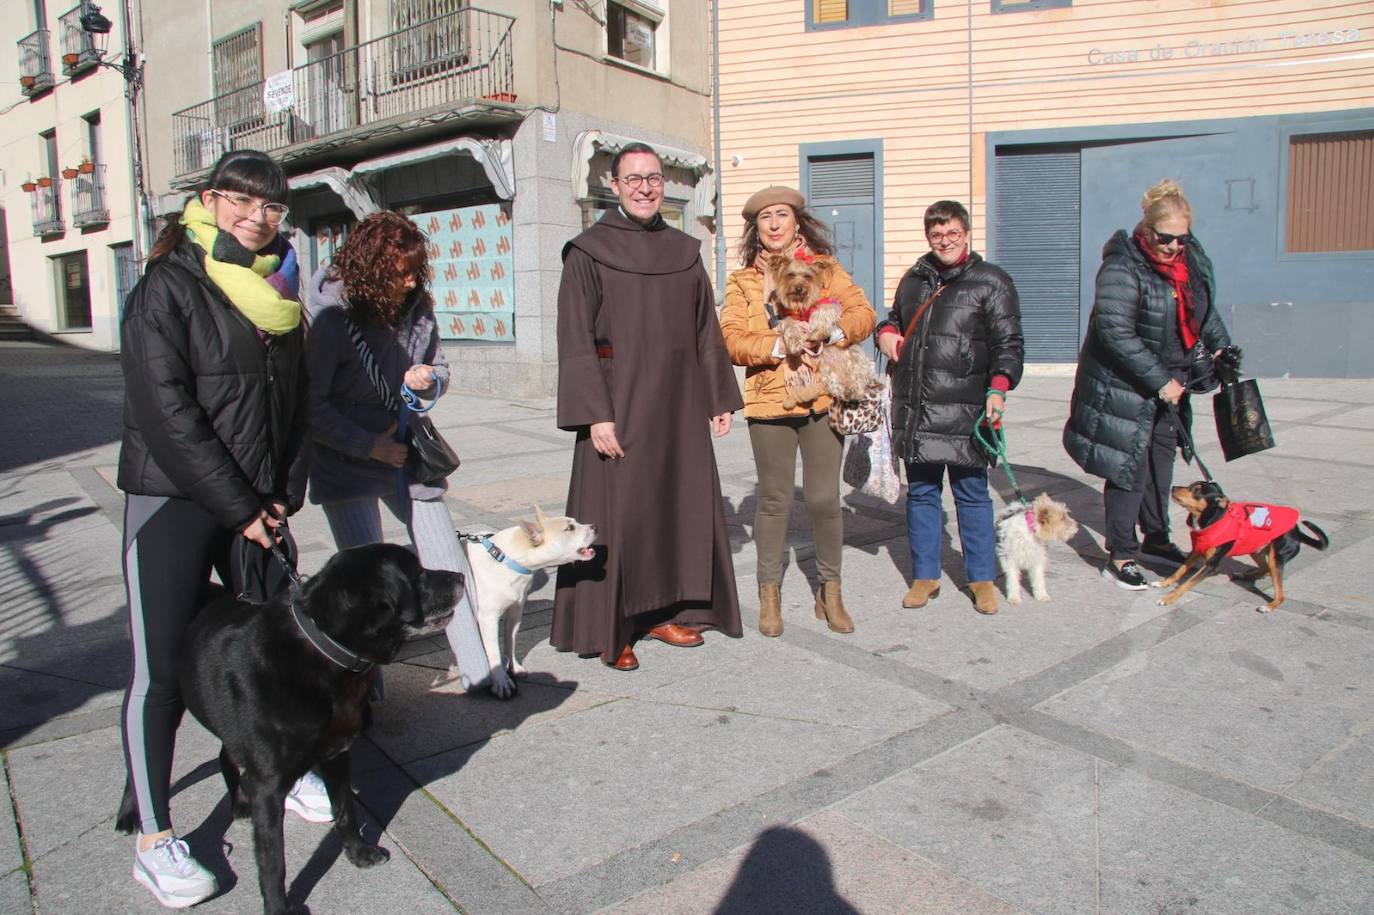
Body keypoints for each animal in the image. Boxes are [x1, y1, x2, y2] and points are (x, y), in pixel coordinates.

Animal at [118, 541, 461, 912]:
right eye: (418, 572)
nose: (459, 575)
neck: (326, 652)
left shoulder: (337, 755)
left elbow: (345, 811)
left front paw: (357, 853)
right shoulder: (268, 788)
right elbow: (273, 862)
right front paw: (278, 907)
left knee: (226, 753)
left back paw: (239, 801)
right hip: (160, 686)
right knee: (137, 748)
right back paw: (129, 815)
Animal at [461, 505, 596, 697]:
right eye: (570, 528)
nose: (595, 527)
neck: (507, 560)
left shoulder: (515, 612)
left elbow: (510, 640)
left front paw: (514, 667)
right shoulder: (488, 618)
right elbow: (493, 650)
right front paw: (501, 680)